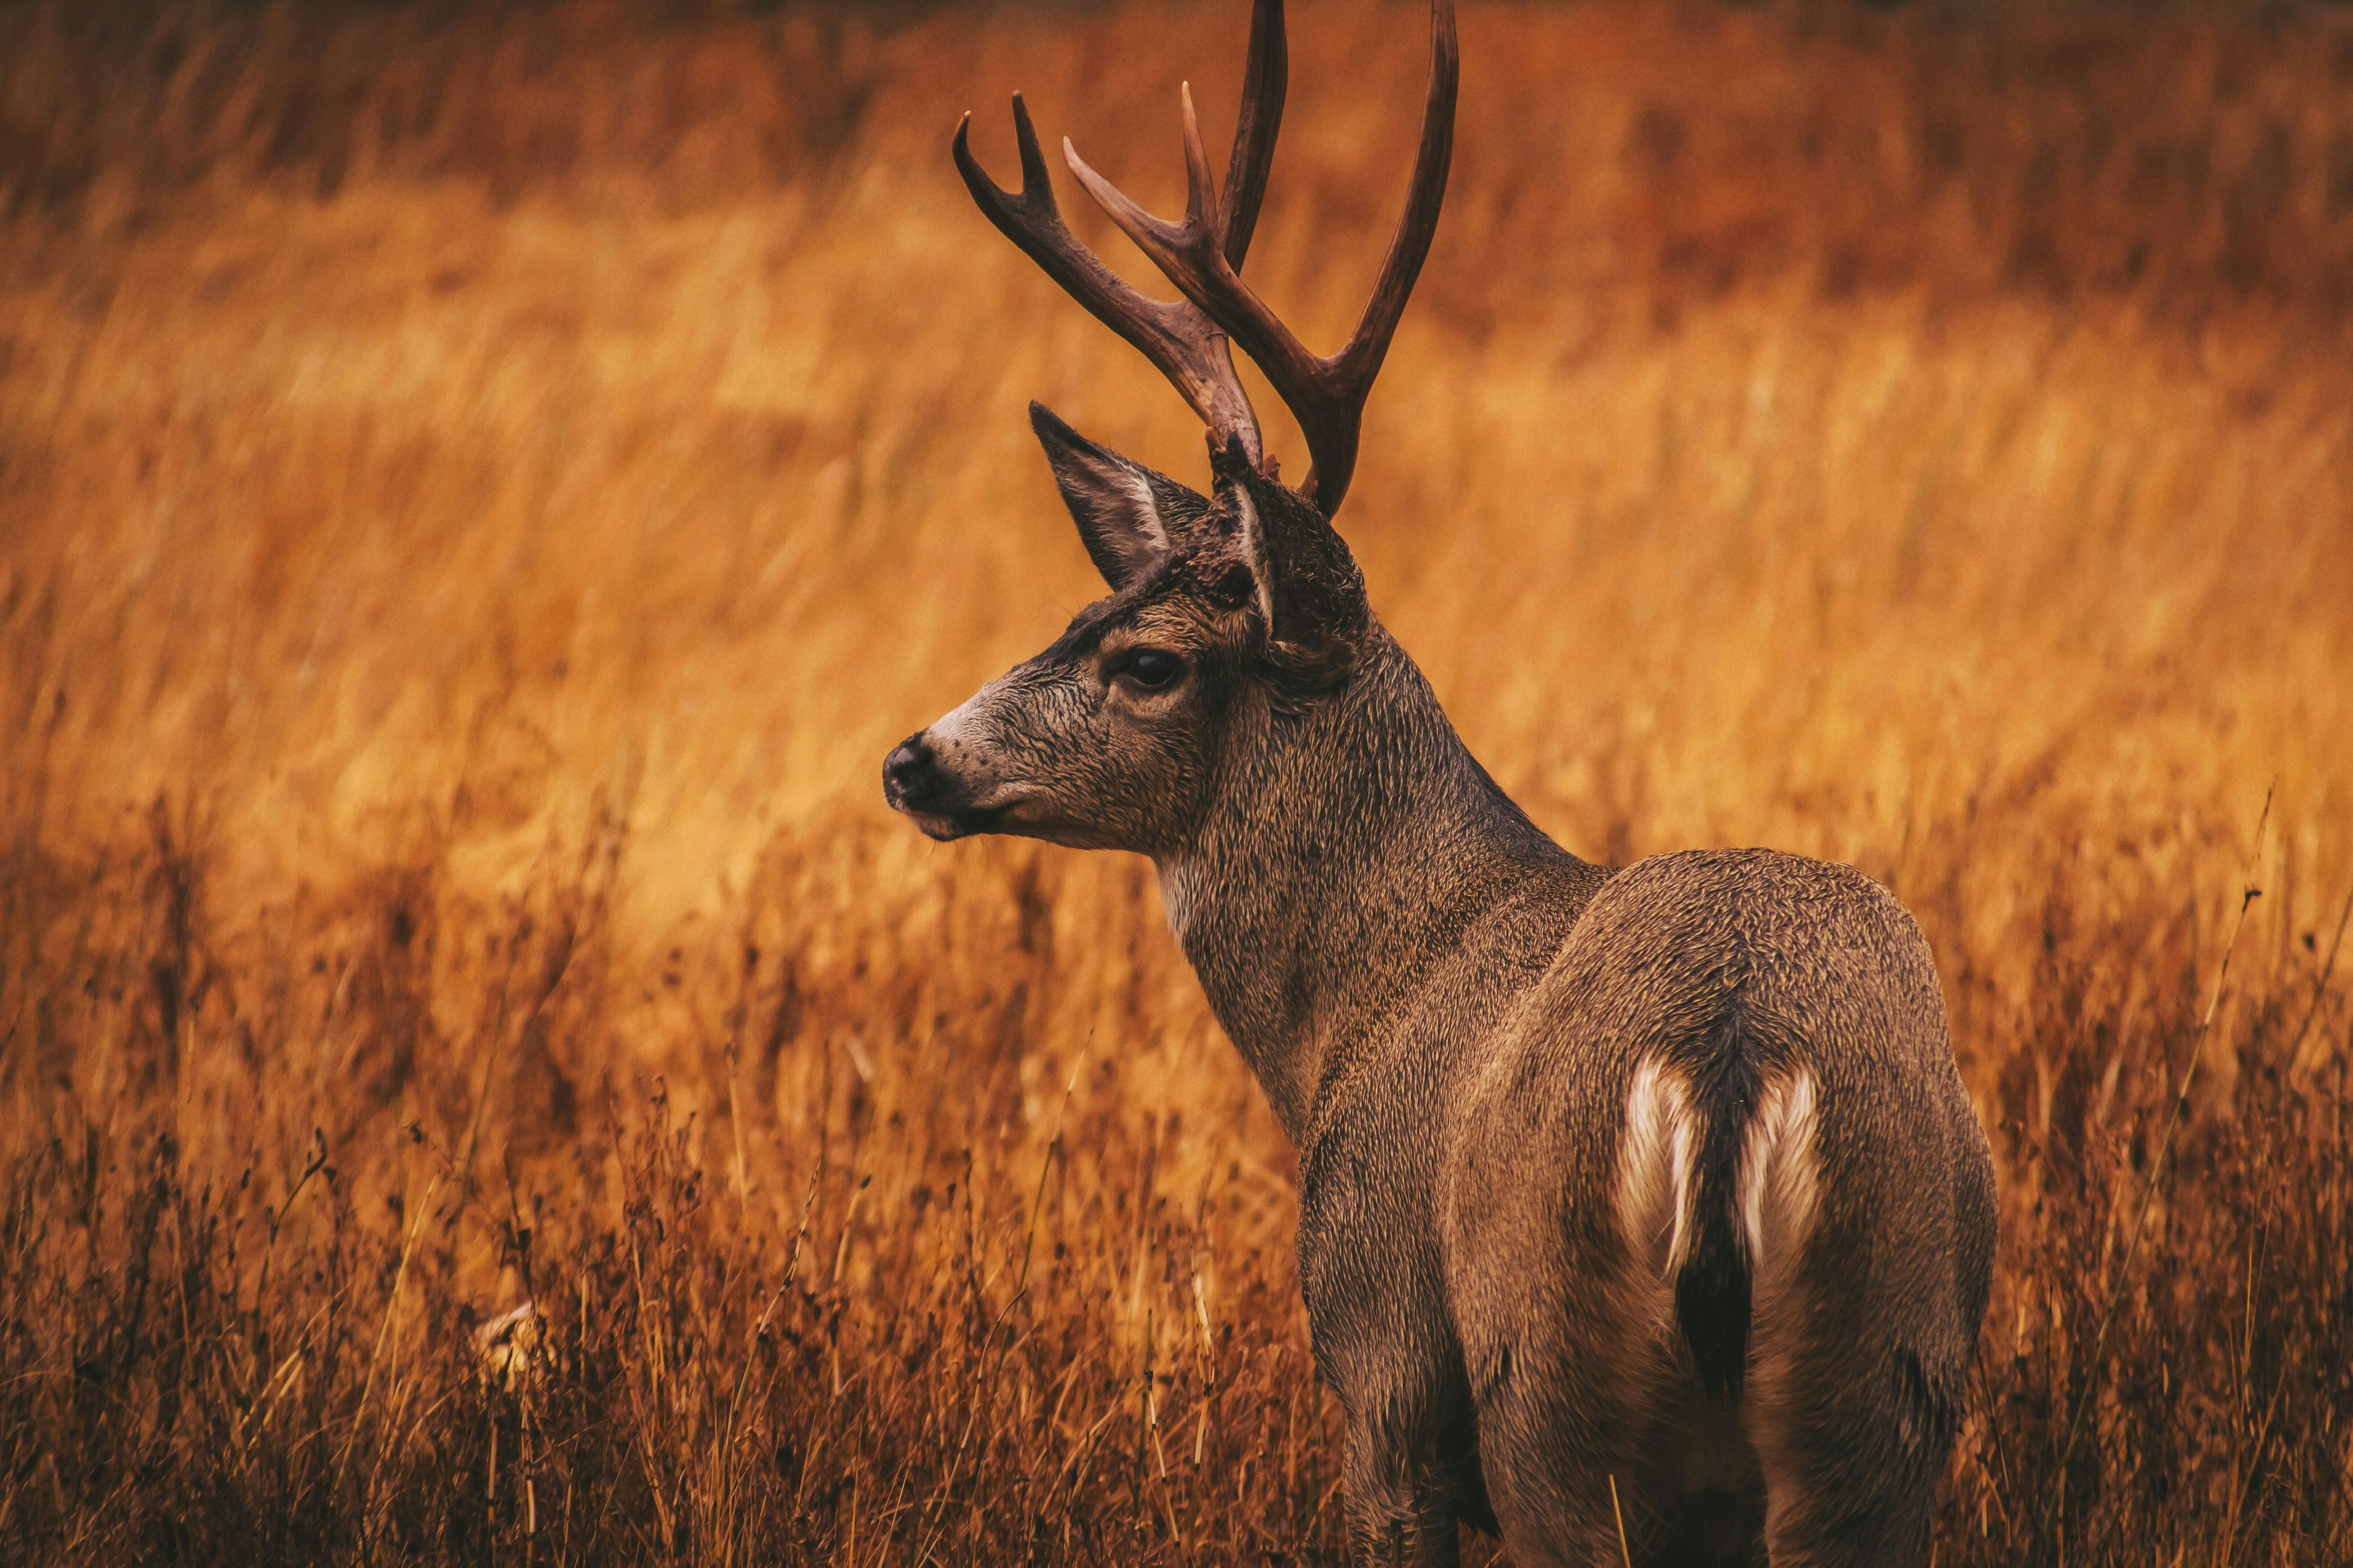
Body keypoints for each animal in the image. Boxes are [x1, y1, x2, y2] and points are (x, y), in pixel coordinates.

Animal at [881, 1, 1996, 1562]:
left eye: (1149, 660)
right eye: (1081, 607)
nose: (913, 760)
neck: (1355, 1003)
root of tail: (1727, 1053)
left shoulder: (1381, 1372)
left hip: (1543, 1377)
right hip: (1886, 1377)